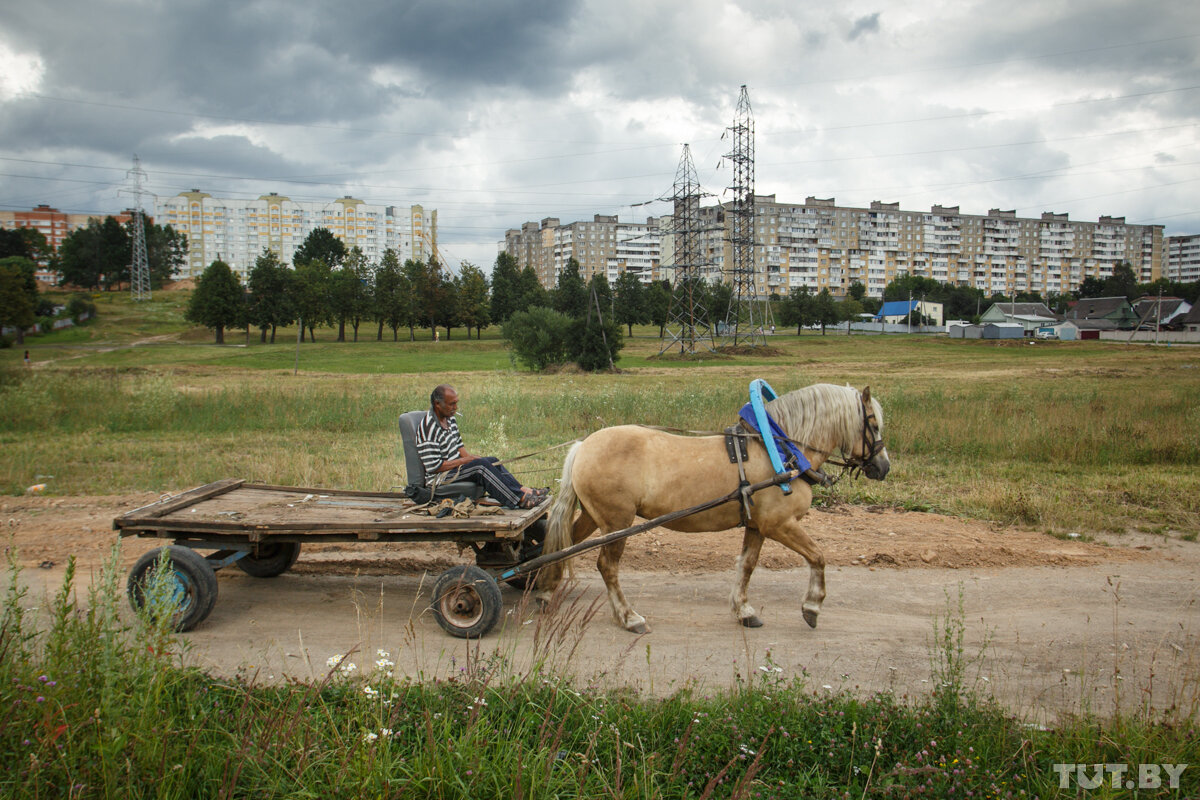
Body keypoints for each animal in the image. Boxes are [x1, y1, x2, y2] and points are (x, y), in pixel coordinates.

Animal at [540, 383, 888, 633]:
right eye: (873, 424)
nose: (883, 467)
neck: (780, 451)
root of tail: (584, 445)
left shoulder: (758, 526)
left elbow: (747, 565)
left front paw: (744, 610)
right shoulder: (780, 524)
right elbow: (818, 556)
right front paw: (812, 606)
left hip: (593, 516)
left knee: (564, 545)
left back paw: (544, 590)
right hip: (617, 523)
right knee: (607, 567)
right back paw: (629, 617)